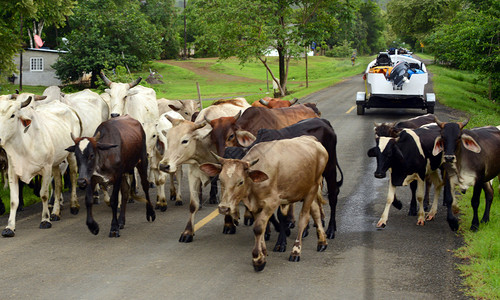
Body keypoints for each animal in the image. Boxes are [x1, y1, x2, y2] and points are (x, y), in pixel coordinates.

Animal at [0, 98, 81, 237]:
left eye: (12, 115)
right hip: (55, 162)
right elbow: (14, 201)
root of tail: (69, 108)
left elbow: (43, 194)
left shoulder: (46, 168)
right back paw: (56, 212)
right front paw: (9, 227)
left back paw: (74, 205)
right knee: (58, 184)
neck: (24, 146)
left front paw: (45, 220)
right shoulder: (12, 171)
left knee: (73, 176)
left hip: (71, 154)